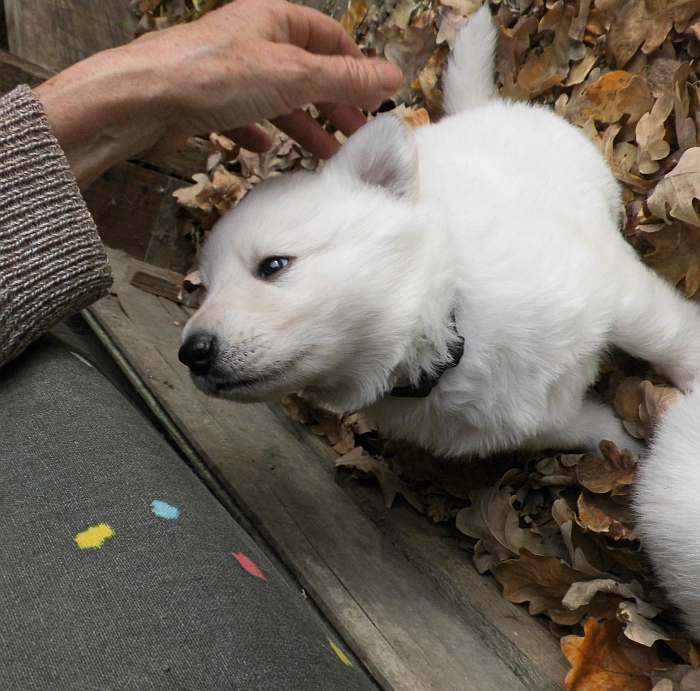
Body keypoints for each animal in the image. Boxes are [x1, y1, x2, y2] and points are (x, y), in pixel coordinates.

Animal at [182, 6, 700, 636]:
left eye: (274, 266)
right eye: (204, 288)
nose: (192, 352)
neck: (451, 335)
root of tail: (475, 110)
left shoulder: (614, 288)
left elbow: (668, 335)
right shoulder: (538, 420)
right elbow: (600, 430)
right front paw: (640, 455)